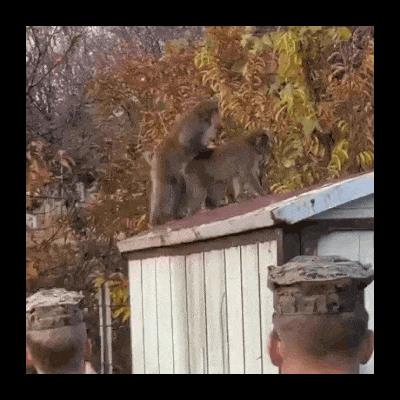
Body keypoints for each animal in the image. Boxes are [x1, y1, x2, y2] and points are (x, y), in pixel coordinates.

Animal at [148, 99, 220, 227]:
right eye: (215, 111)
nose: (218, 119)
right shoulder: (196, 125)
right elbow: (186, 142)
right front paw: (205, 149)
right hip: (163, 162)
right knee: (166, 186)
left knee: (178, 184)